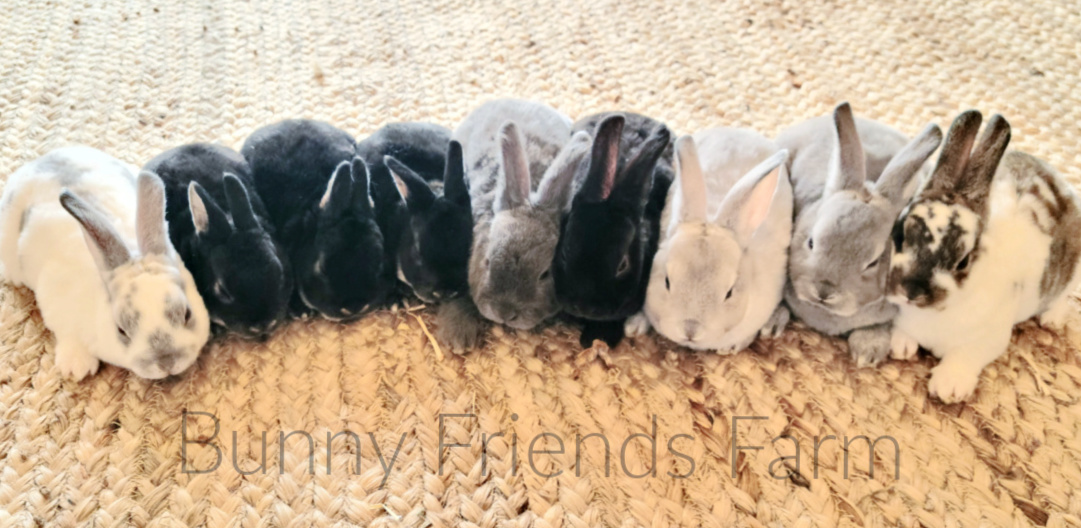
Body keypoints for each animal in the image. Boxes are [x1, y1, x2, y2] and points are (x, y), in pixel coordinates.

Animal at [0, 146, 211, 380]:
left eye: (187, 314)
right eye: (121, 330)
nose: (167, 363)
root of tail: (41, 160)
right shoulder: (54, 303)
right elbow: (66, 333)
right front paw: (77, 367)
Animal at [887, 110, 1081, 403]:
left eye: (963, 261)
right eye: (899, 235)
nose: (911, 291)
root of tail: (1058, 180)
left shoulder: (988, 339)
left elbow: (965, 356)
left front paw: (949, 387)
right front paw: (901, 347)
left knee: (1064, 294)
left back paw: (1052, 320)